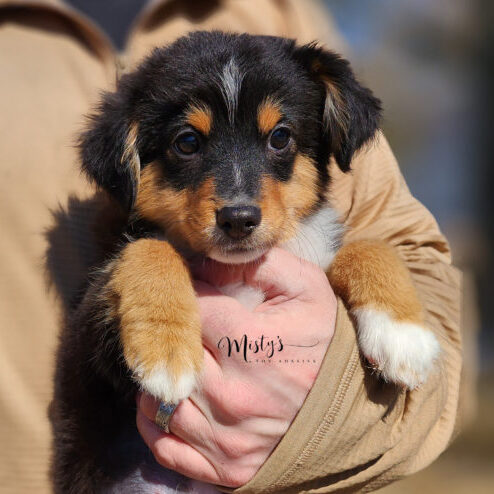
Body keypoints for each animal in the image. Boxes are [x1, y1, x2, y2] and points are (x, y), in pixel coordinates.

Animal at [51, 32, 440, 492]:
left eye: (280, 137)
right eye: (187, 142)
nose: (238, 219)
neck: (240, 272)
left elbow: (370, 247)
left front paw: (404, 334)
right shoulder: (90, 343)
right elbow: (148, 248)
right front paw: (167, 353)